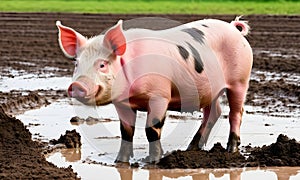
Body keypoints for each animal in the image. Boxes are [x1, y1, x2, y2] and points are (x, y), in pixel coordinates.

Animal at [56, 16, 253, 164]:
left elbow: (152, 128)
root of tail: (233, 28)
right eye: (76, 63)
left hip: (240, 80)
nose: (77, 85)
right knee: (214, 113)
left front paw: (153, 161)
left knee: (236, 113)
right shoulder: (122, 103)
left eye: (102, 65)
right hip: (209, 90)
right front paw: (120, 161)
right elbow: (126, 131)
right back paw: (192, 148)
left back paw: (231, 149)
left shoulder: (160, 96)